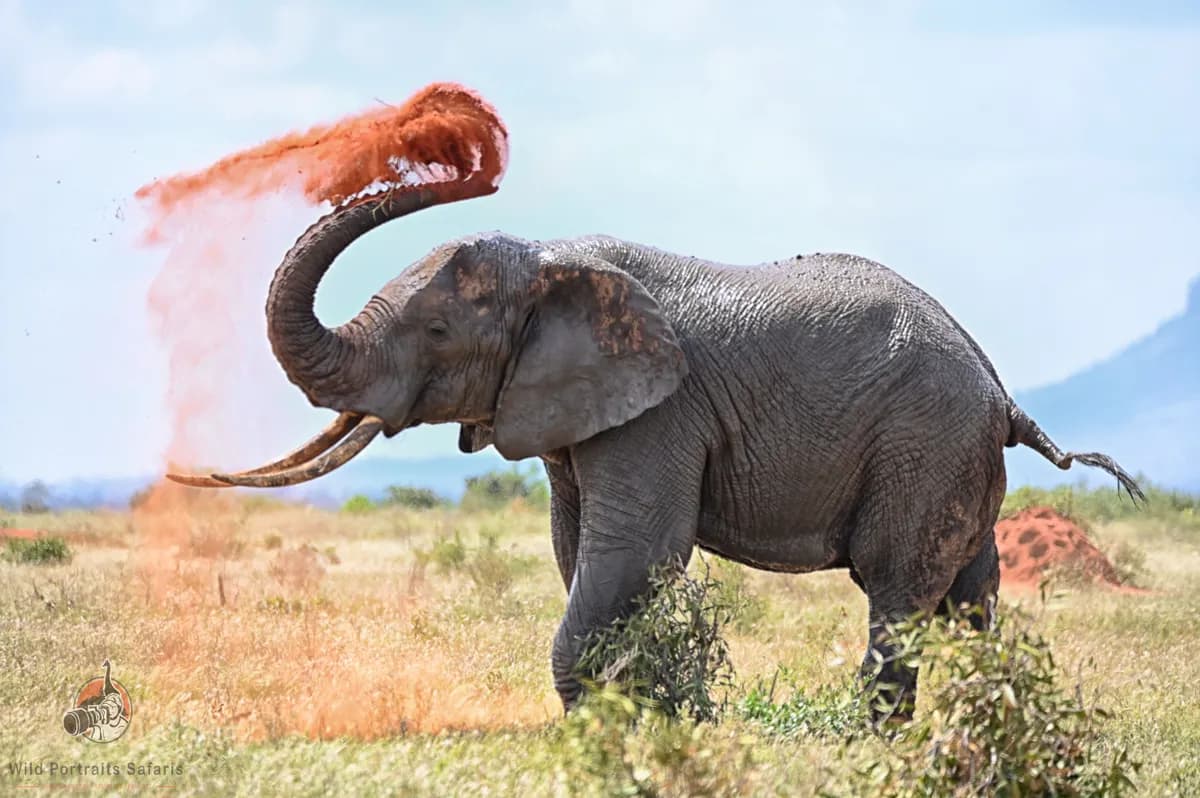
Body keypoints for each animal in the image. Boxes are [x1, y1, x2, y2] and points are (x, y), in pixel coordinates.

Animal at [170, 187, 1143, 721]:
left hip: (924, 440)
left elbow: (630, 554)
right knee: (968, 600)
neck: (552, 261)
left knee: (898, 592)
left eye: (439, 332)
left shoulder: (661, 413)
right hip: (954, 456)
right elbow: (577, 550)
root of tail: (1001, 391)